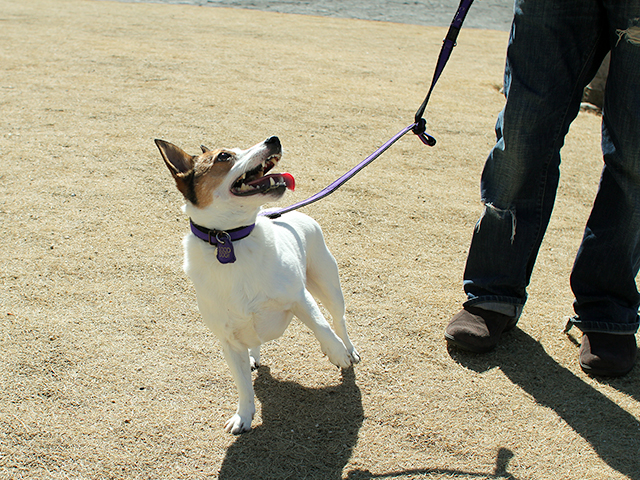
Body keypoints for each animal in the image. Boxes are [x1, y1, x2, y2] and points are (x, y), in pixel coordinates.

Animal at [156, 136, 360, 436]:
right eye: (224, 156)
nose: (273, 139)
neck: (230, 238)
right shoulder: (229, 341)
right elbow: (243, 385)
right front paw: (243, 415)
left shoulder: (299, 297)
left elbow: (321, 326)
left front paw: (336, 353)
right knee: (255, 342)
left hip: (327, 284)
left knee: (337, 320)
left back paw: (348, 349)